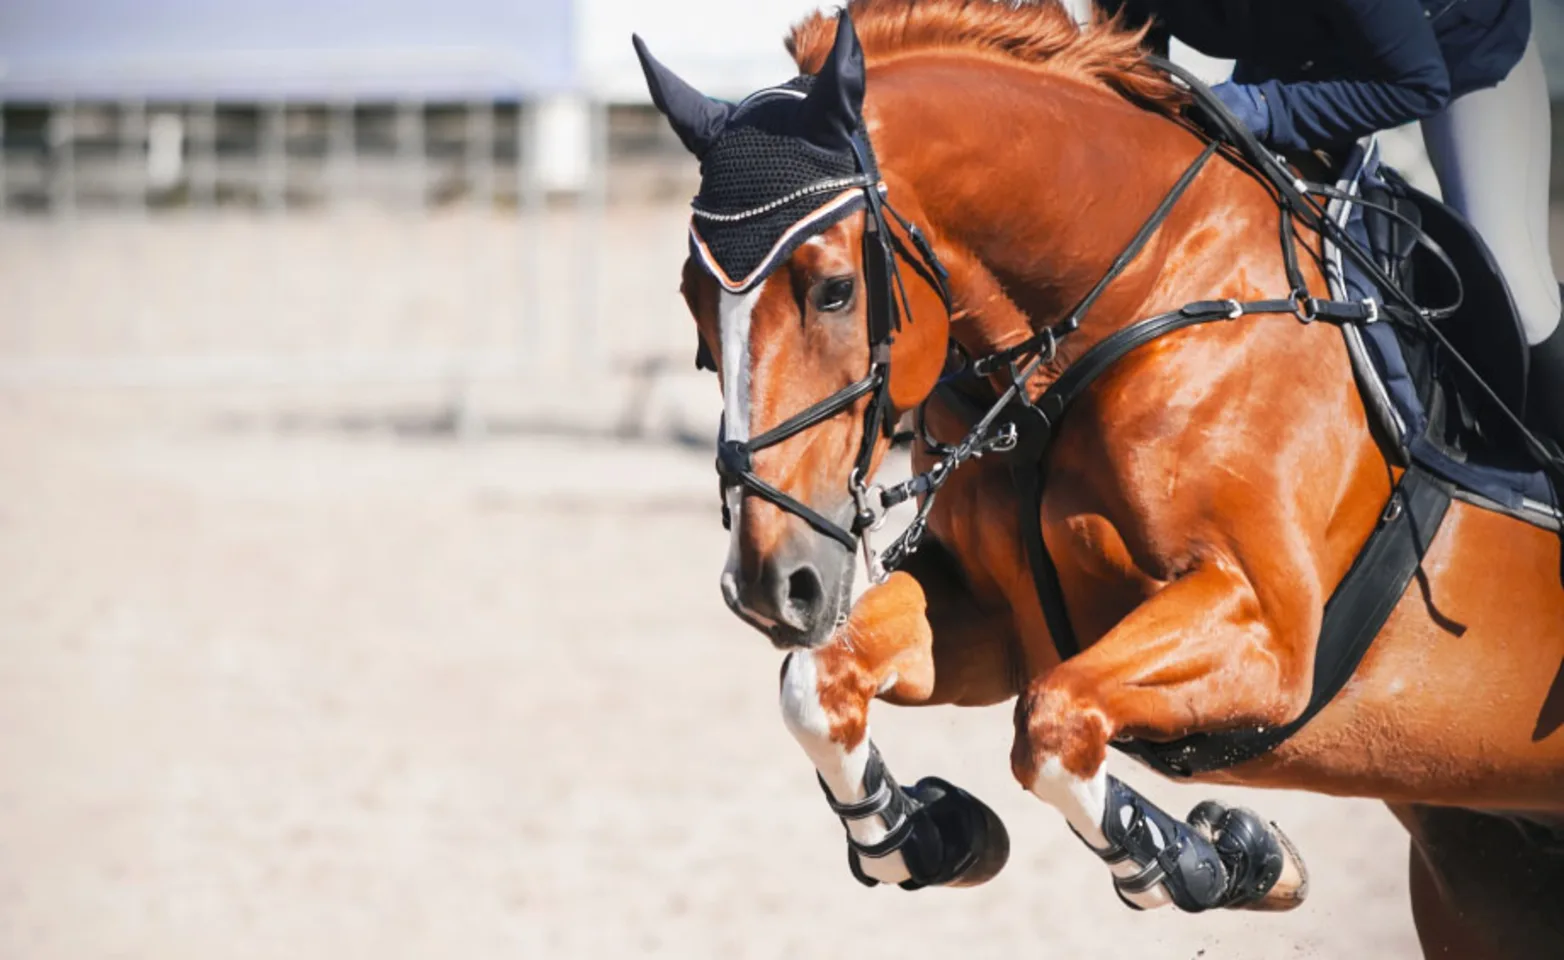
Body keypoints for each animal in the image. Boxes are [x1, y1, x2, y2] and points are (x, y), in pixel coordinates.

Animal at [631, 3, 1564, 956]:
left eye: (833, 291)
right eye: (693, 302)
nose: (769, 585)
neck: (1134, 294)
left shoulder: (1265, 633)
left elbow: (1052, 723)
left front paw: (1217, 858)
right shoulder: (997, 616)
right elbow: (818, 686)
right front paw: (925, 834)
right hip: (1481, 869)